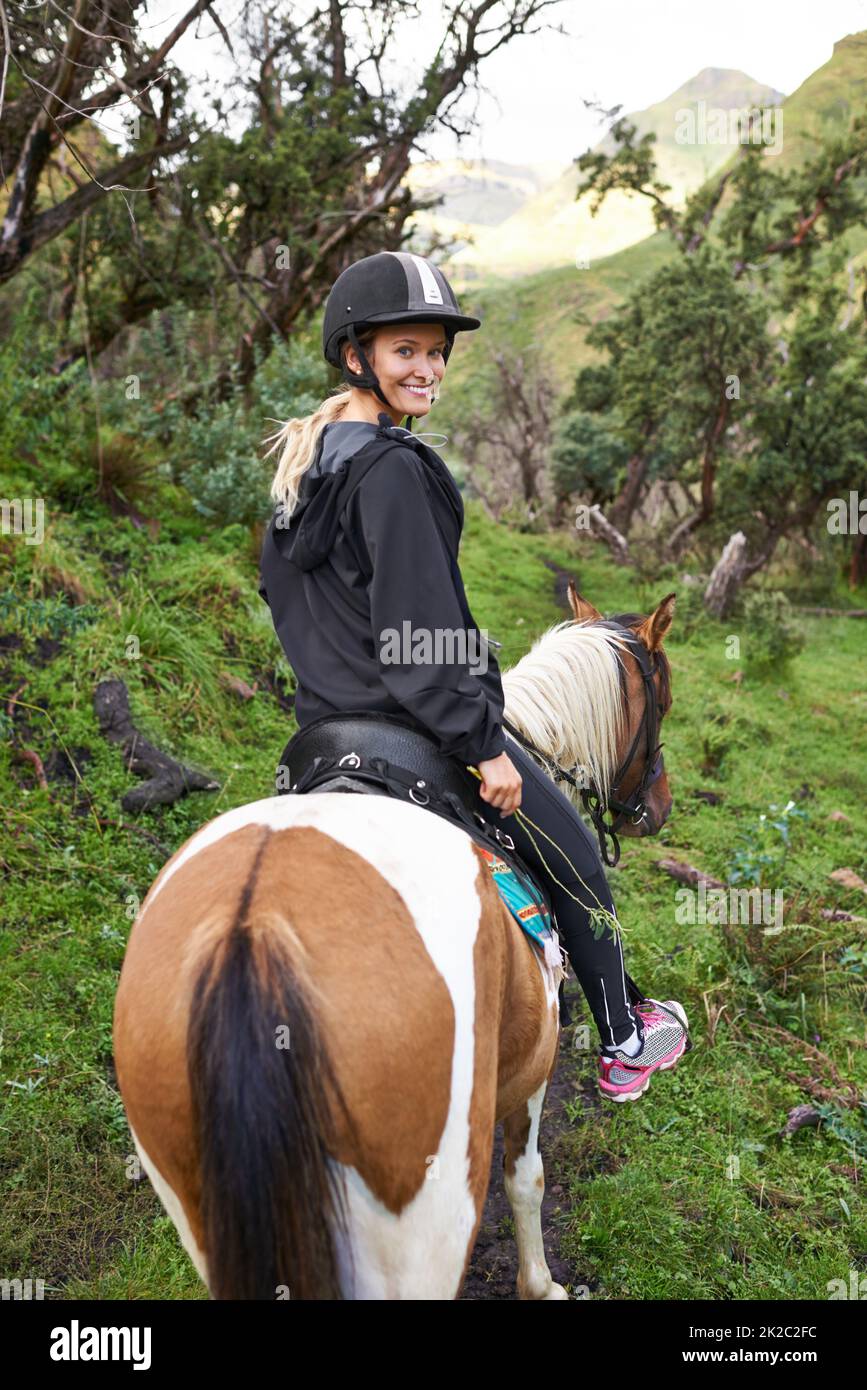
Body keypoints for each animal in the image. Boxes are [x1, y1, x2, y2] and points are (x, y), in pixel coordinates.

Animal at [111, 581, 675, 1295]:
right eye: (663, 700)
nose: (659, 807)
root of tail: (254, 935)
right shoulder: (530, 1072)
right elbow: (527, 1180)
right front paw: (543, 1284)